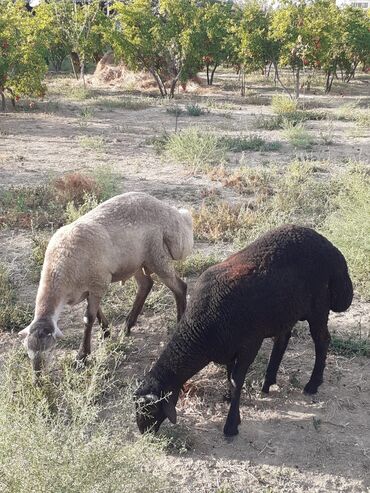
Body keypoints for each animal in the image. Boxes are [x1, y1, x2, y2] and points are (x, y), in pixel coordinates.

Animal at [18, 191, 194, 368]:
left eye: (49, 351)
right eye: (28, 353)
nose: (38, 374)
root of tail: (173, 215)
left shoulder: (99, 282)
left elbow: (88, 318)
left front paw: (82, 356)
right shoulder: (91, 286)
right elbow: (95, 312)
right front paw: (106, 331)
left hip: (157, 257)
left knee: (180, 287)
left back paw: (178, 324)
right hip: (137, 262)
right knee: (146, 285)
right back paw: (127, 326)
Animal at [135, 225, 352, 436]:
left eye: (151, 409)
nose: (144, 433)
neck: (200, 329)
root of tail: (332, 250)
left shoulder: (249, 344)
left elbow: (236, 380)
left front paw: (231, 424)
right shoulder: (230, 348)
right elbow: (229, 375)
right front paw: (228, 397)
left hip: (318, 307)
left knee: (322, 340)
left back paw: (312, 384)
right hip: (285, 311)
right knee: (283, 339)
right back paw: (268, 382)